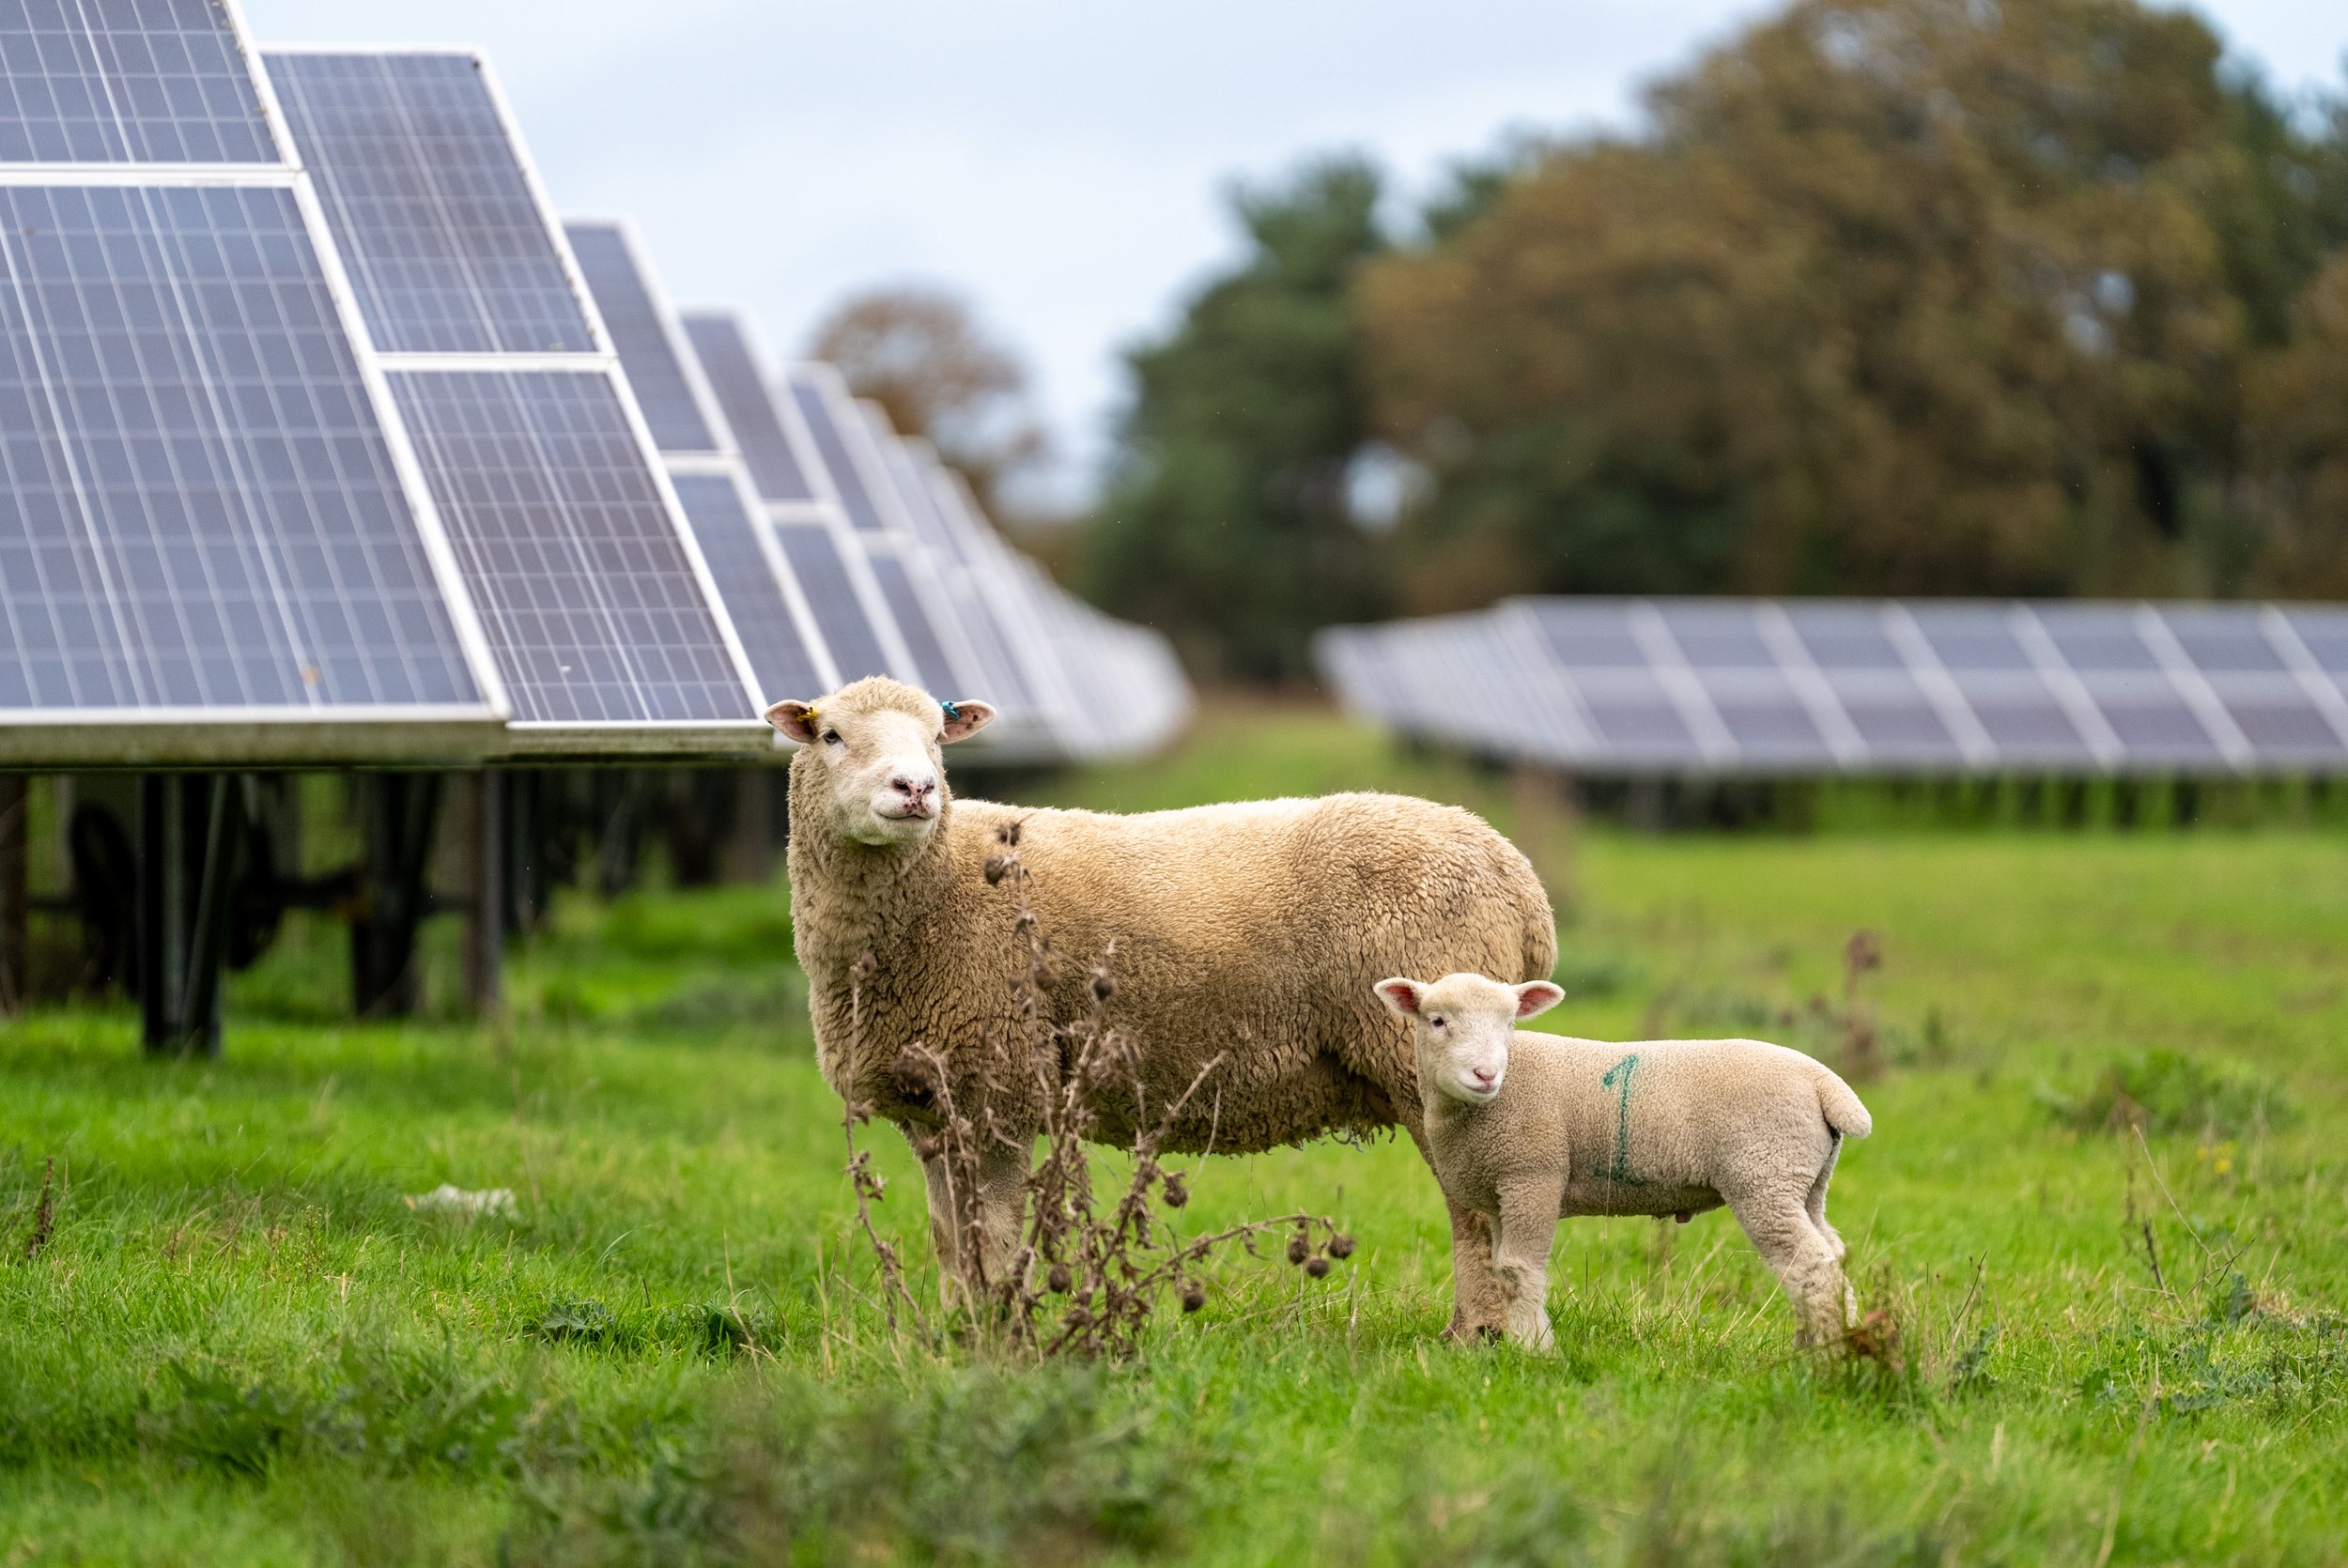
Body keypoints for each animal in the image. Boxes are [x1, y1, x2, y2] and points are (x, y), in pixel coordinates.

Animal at [1371, 967, 1869, 1352]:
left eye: (1510, 1022)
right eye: (1437, 1021)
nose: (1486, 1074)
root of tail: (1823, 1081)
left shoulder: (1533, 1175)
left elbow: (1517, 1269)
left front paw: (1535, 1350)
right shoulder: (1500, 1192)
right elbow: (1500, 1269)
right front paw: (1518, 1343)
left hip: (1764, 1175)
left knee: (1812, 1265)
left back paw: (1825, 1357)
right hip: (1805, 1180)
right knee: (1833, 1254)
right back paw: (1832, 1340)